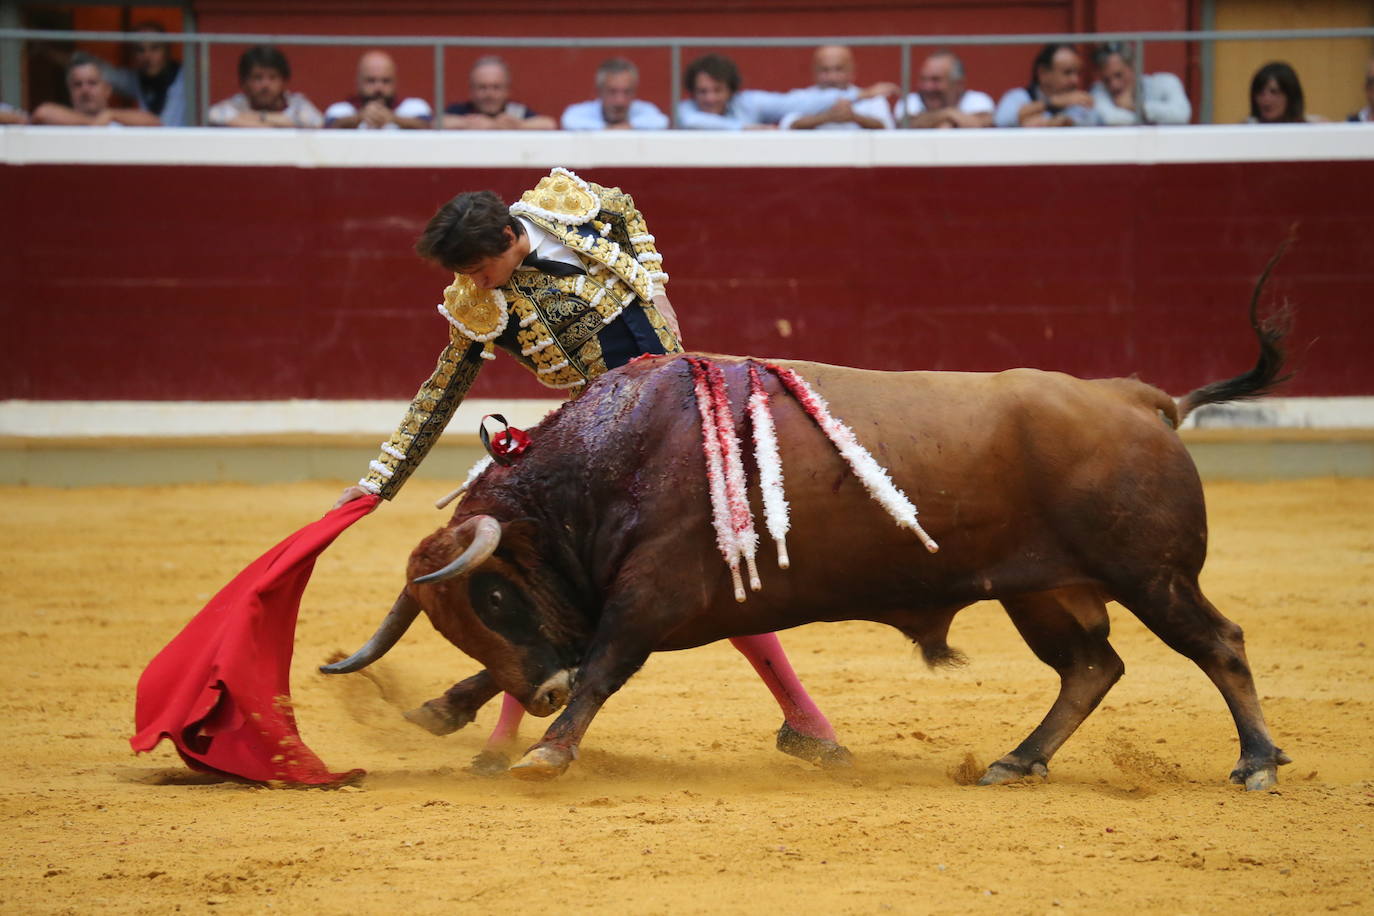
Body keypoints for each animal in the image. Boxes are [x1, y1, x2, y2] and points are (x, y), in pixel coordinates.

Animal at [327, 282, 1291, 791]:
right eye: (462, 613)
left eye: (493, 592)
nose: (543, 694)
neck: (605, 465)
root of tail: (1138, 398)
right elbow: (538, 662)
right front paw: (449, 707)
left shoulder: (650, 596)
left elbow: (602, 664)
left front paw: (548, 749)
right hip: (1044, 591)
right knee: (1092, 667)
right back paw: (1016, 761)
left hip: (1152, 575)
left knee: (1219, 643)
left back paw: (1256, 762)